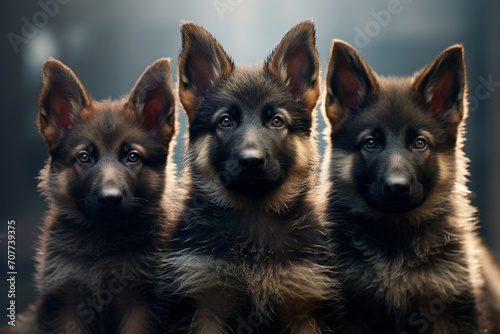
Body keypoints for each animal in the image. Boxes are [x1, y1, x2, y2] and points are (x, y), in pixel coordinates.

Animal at [17, 58, 177, 332]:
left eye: (132, 157)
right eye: (84, 157)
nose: (110, 199)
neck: (101, 241)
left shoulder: (139, 305)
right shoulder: (67, 305)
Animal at [159, 21, 340, 334]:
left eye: (277, 121)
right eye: (225, 121)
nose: (251, 162)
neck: (254, 220)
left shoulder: (303, 312)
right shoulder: (207, 309)